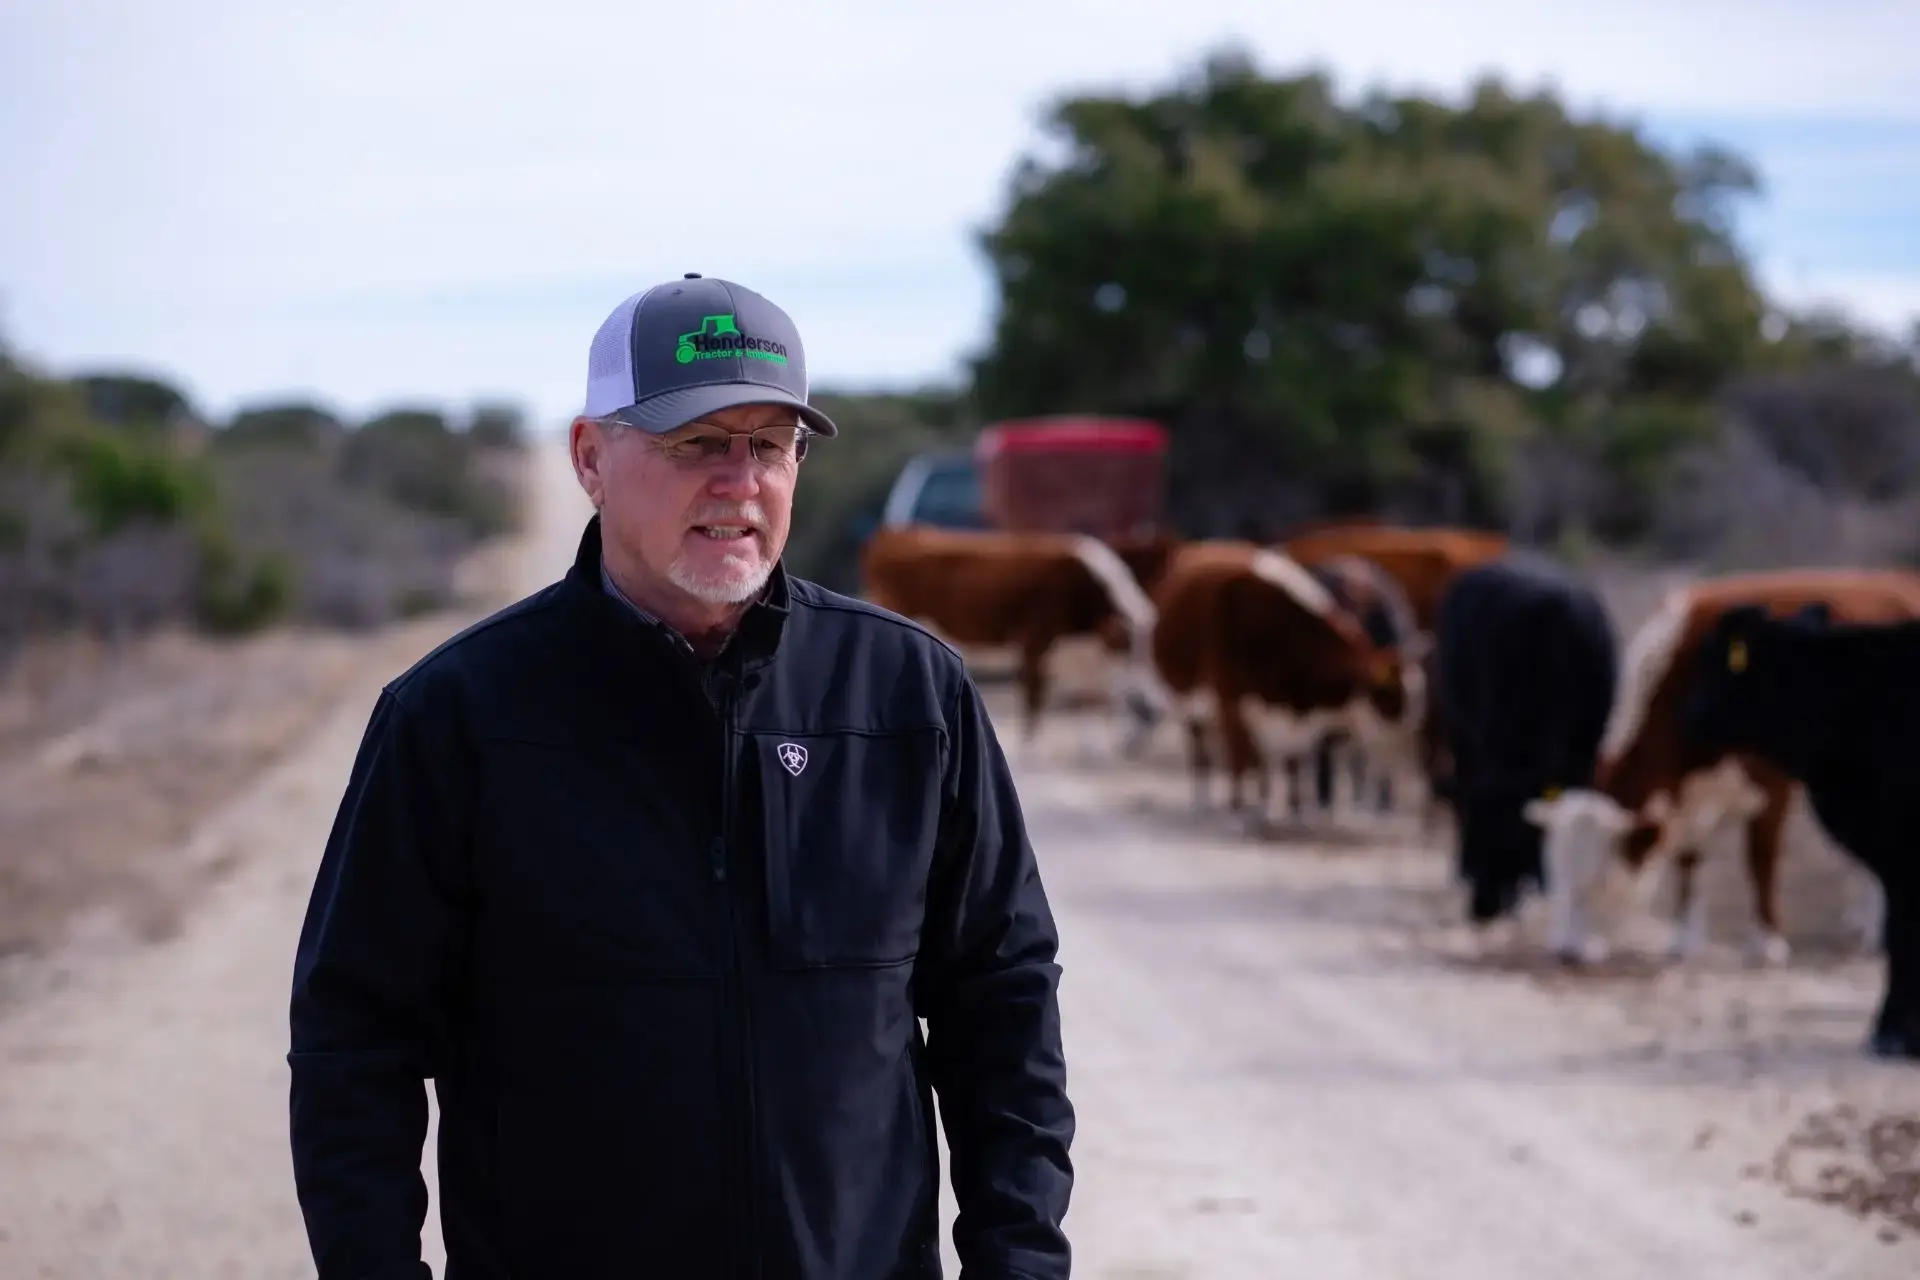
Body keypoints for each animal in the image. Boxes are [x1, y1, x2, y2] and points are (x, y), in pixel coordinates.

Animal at [859, 524, 1165, 755]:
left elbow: (1089, 696)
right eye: (1131, 649)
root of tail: (899, 531)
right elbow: (1034, 695)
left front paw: (1092, 750)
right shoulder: (1035, 639)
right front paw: (1031, 749)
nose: (1154, 710)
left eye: (1148, 649)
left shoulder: (1081, 651)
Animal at [1145, 540, 1424, 835]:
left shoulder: (1291, 715)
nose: (1409, 755)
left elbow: (1291, 764)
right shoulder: (1230, 701)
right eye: (1388, 697)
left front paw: (1295, 813)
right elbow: (1239, 760)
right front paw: (1237, 814)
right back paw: (1204, 803)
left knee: (1256, 759)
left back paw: (1261, 805)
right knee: (1203, 750)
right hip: (1186, 701)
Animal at [1524, 569, 1920, 966]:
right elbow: (1688, 856)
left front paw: (1767, 942)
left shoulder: (1770, 783)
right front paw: (1683, 940)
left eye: (1600, 882)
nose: (1567, 952)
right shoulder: (1690, 795)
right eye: (1554, 873)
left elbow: (1760, 859)